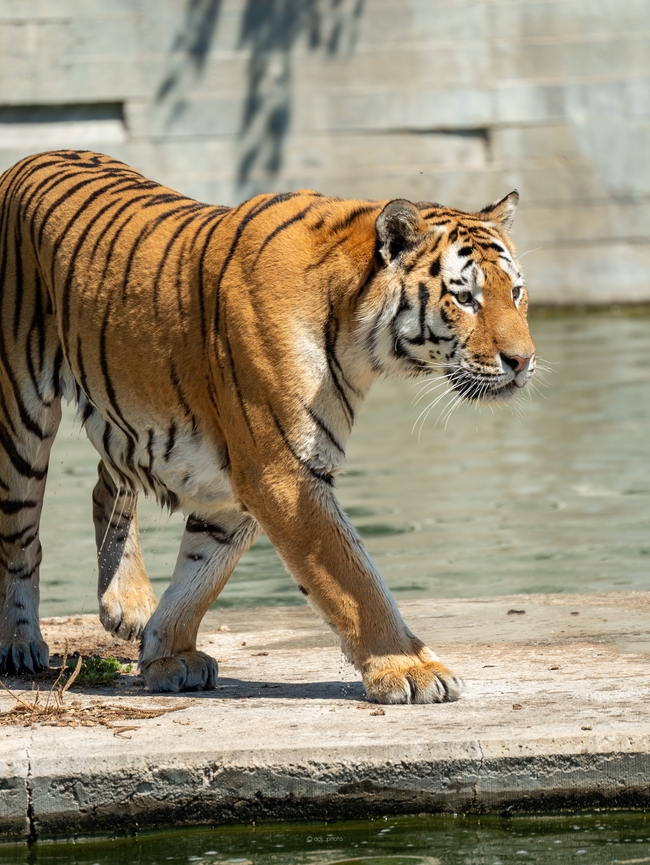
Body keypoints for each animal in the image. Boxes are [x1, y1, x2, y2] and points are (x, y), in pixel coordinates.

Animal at [0, 148, 536, 704]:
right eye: (466, 298)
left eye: (516, 292)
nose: (524, 361)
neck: (356, 333)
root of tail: (32, 156)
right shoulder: (279, 472)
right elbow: (354, 580)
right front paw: (413, 670)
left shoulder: (234, 482)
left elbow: (201, 574)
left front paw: (168, 654)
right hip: (23, 419)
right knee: (21, 538)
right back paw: (20, 646)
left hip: (126, 419)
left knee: (106, 487)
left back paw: (128, 604)